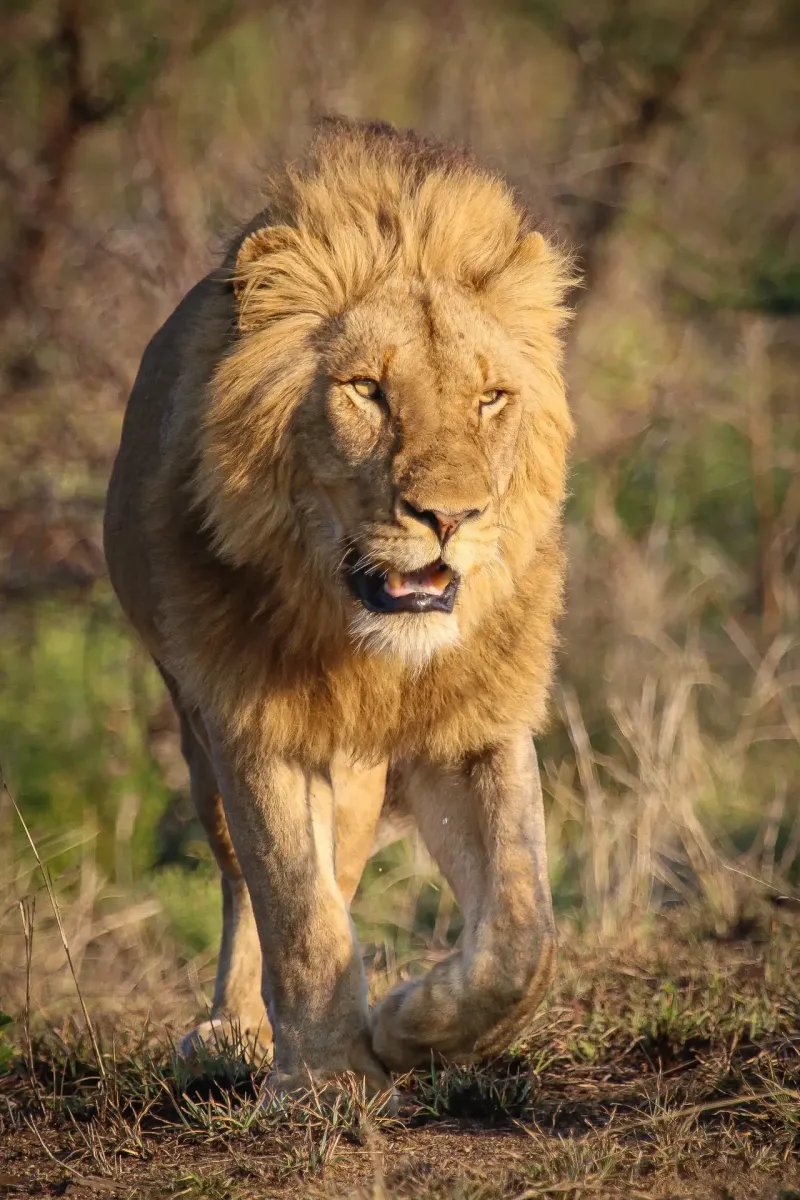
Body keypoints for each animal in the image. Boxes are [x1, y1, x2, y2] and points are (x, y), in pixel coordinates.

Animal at [104, 119, 575, 1094]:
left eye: (490, 398)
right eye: (368, 390)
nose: (450, 517)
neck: (375, 651)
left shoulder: (478, 727)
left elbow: (523, 932)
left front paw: (413, 1025)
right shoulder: (250, 723)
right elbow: (296, 910)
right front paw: (323, 1075)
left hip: (355, 772)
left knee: (348, 862)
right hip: (197, 734)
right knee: (247, 881)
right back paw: (235, 1031)